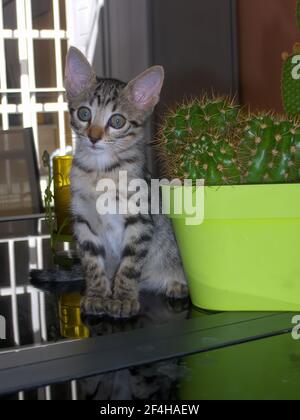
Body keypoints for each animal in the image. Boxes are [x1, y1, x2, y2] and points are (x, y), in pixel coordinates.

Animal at [65, 46, 188, 318]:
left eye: (117, 121)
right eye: (84, 113)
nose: (93, 137)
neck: (100, 172)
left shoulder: (140, 221)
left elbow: (130, 265)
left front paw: (122, 299)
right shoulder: (84, 221)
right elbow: (92, 263)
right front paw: (97, 295)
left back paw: (177, 285)